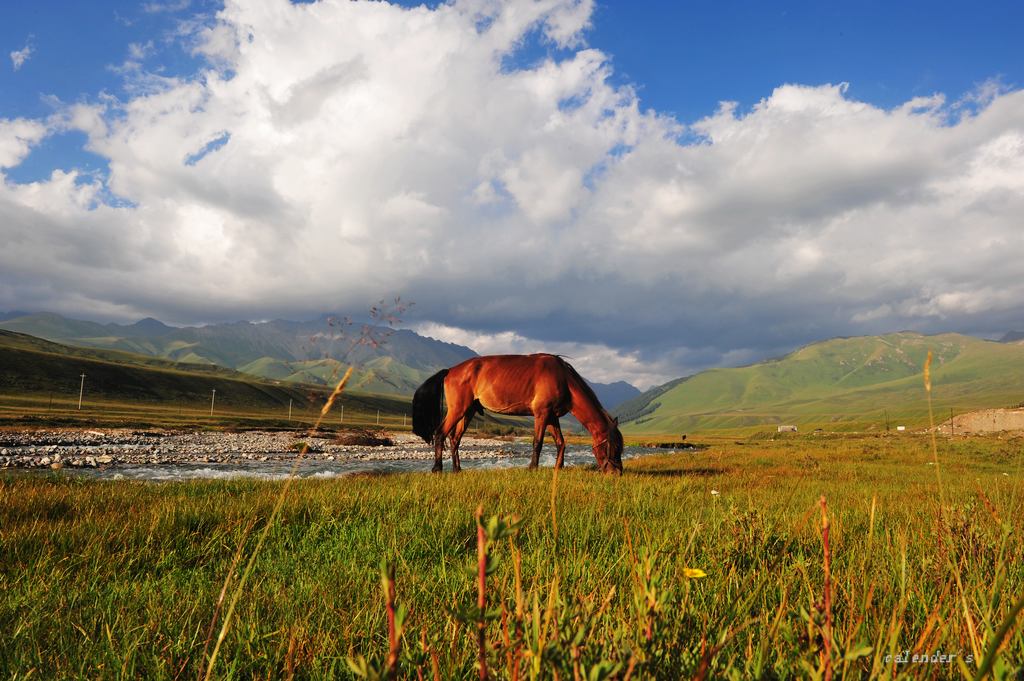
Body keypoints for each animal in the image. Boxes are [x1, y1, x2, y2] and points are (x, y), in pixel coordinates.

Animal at [409, 352, 622, 475]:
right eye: (613, 446)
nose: (617, 472)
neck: (564, 379)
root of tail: (450, 371)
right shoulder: (541, 414)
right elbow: (538, 443)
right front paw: (532, 468)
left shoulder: (551, 417)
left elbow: (561, 442)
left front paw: (558, 468)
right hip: (458, 410)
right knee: (440, 434)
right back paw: (437, 469)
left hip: (467, 412)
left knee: (454, 439)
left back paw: (457, 470)